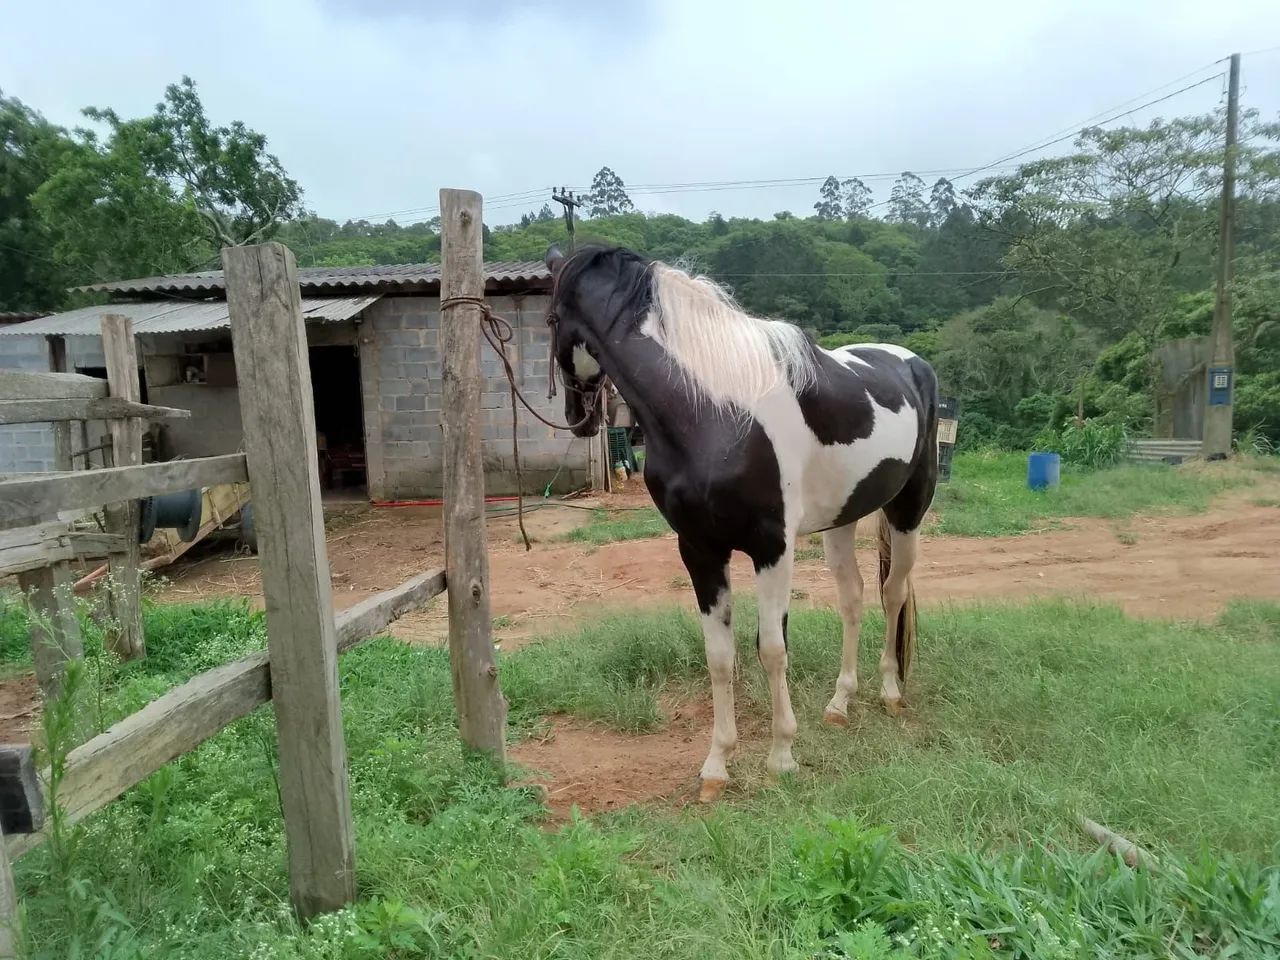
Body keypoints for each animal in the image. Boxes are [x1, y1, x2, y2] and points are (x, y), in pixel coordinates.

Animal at [543, 244, 939, 802]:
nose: (579, 418)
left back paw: (889, 691)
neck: (717, 415)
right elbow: (720, 656)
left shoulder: (772, 548)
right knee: (853, 598)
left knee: (893, 594)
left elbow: (772, 649)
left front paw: (782, 756)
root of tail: (913, 363)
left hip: (908, 511)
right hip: (843, 520)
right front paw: (716, 766)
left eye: (551, 319)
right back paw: (839, 704)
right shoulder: (699, 549)